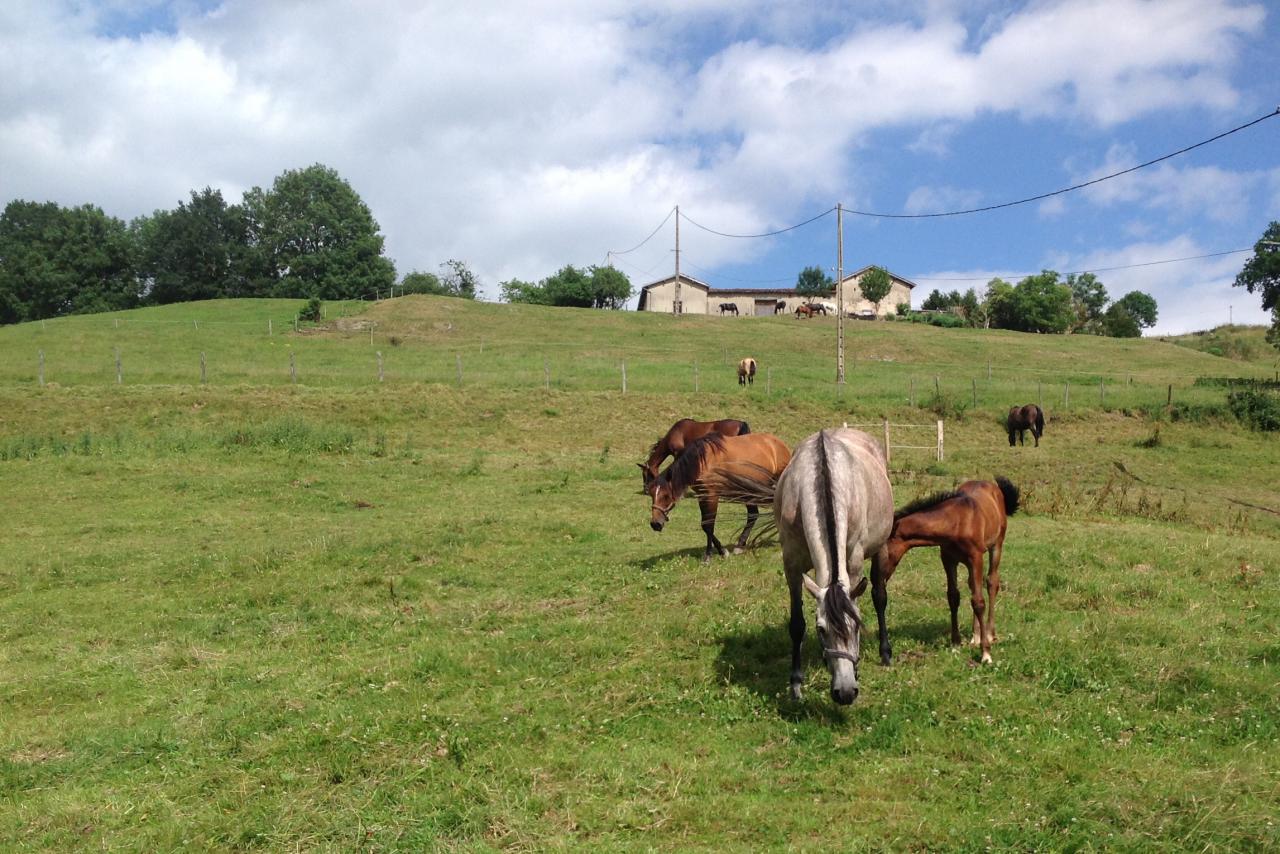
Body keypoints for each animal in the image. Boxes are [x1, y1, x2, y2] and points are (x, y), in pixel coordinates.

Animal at [646, 432, 791, 563]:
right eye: (652, 494)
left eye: (666, 496)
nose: (655, 524)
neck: (702, 461)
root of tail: (779, 444)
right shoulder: (702, 496)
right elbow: (705, 525)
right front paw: (722, 551)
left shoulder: (711, 496)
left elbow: (708, 525)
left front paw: (708, 556)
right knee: (753, 515)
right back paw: (740, 545)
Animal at [775, 428, 894, 705]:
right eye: (821, 629)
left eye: (857, 626)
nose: (846, 692)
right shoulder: (791, 564)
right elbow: (797, 624)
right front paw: (795, 682)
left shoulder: (854, 559)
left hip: (881, 546)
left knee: (879, 596)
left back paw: (885, 651)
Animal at [870, 478, 1019, 667]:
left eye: (880, 551)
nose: (874, 578)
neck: (956, 522)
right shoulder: (948, 559)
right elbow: (953, 597)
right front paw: (955, 643)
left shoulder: (976, 559)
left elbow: (978, 602)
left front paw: (986, 653)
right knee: (972, 586)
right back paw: (976, 636)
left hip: (996, 546)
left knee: (992, 582)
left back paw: (990, 633)